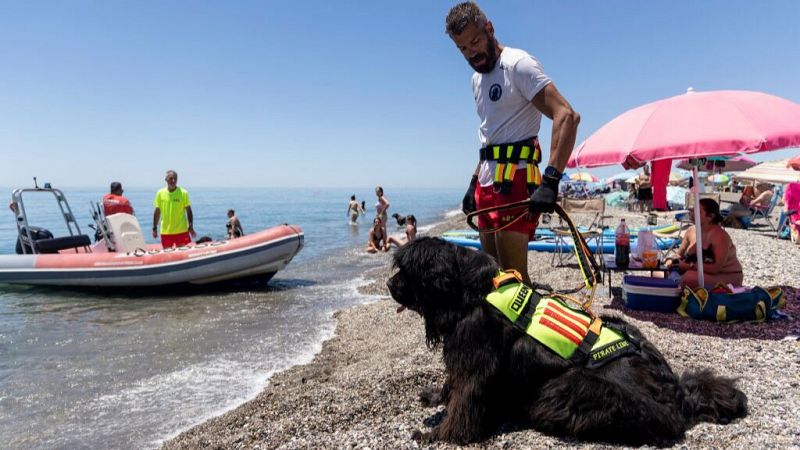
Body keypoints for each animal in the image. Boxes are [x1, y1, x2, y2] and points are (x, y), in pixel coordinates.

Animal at [390, 237, 752, 444]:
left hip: (572, 389)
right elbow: (452, 385)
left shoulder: (476, 360)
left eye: (407, 272)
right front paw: (435, 397)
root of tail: (678, 394)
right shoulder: (464, 356)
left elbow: (464, 402)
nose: (390, 284)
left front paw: (438, 435)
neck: (475, 290)